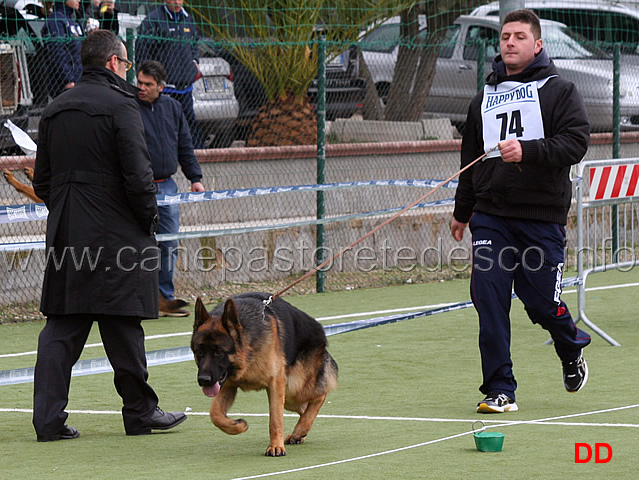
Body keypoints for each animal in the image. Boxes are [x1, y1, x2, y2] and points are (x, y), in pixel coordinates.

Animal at [191, 290, 338, 456]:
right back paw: (299, 433)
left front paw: (276, 446)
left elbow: (275, 419)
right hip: (289, 396)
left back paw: (300, 430)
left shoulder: (275, 384)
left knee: (320, 395)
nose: (203, 379)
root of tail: (320, 330)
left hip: (293, 387)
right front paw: (237, 426)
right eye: (199, 352)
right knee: (304, 408)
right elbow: (215, 414)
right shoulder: (228, 385)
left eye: (218, 352)